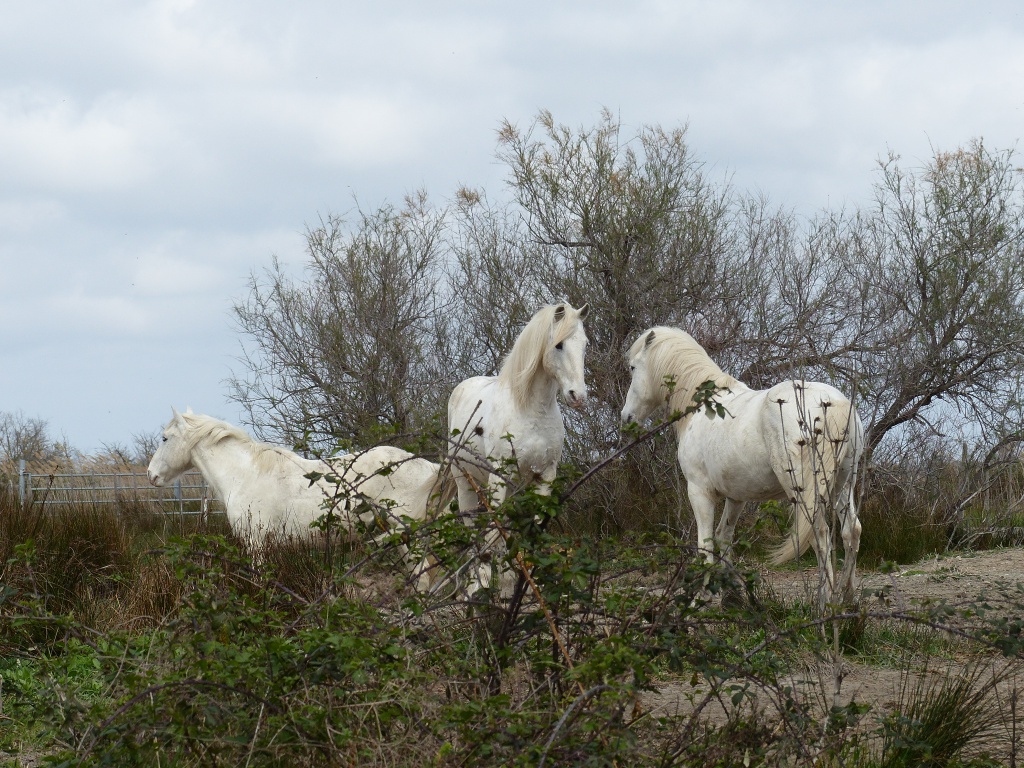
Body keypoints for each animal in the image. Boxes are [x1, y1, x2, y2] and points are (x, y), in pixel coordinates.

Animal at [450, 303, 589, 593]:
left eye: (585, 345)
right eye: (559, 345)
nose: (578, 396)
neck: (531, 410)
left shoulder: (544, 476)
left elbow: (532, 527)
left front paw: (525, 581)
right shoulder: (499, 478)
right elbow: (495, 531)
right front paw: (500, 585)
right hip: (465, 482)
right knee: (472, 527)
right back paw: (477, 582)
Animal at [622, 327, 864, 610]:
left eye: (633, 367)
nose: (626, 418)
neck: (703, 407)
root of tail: (833, 403)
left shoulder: (699, 492)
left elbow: (705, 543)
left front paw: (700, 599)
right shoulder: (736, 497)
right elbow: (723, 536)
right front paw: (733, 596)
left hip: (805, 493)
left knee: (821, 534)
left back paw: (824, 603)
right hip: (842, 483)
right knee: (851, 531)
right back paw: (847, 598)